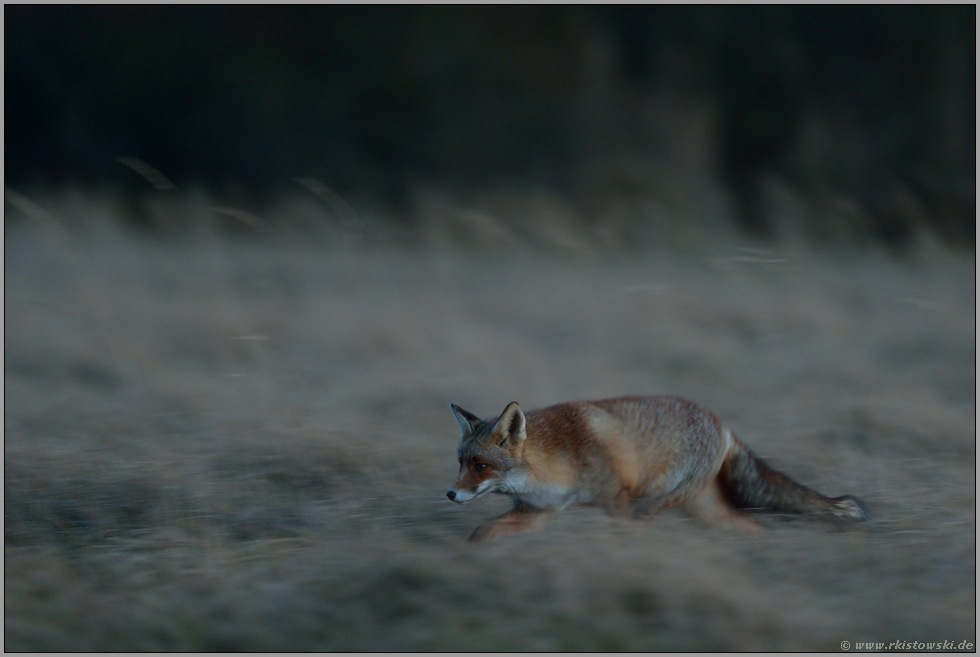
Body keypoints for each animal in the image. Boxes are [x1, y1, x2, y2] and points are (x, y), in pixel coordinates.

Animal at [448, 398, 868, 540]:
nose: (450, 494)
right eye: (461, 462)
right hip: (704, 509)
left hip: (651, 502)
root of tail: (721, 423)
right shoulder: (537, 511)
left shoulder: (616, 500)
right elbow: (481, 534)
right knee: (750, 526)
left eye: (481, 466)